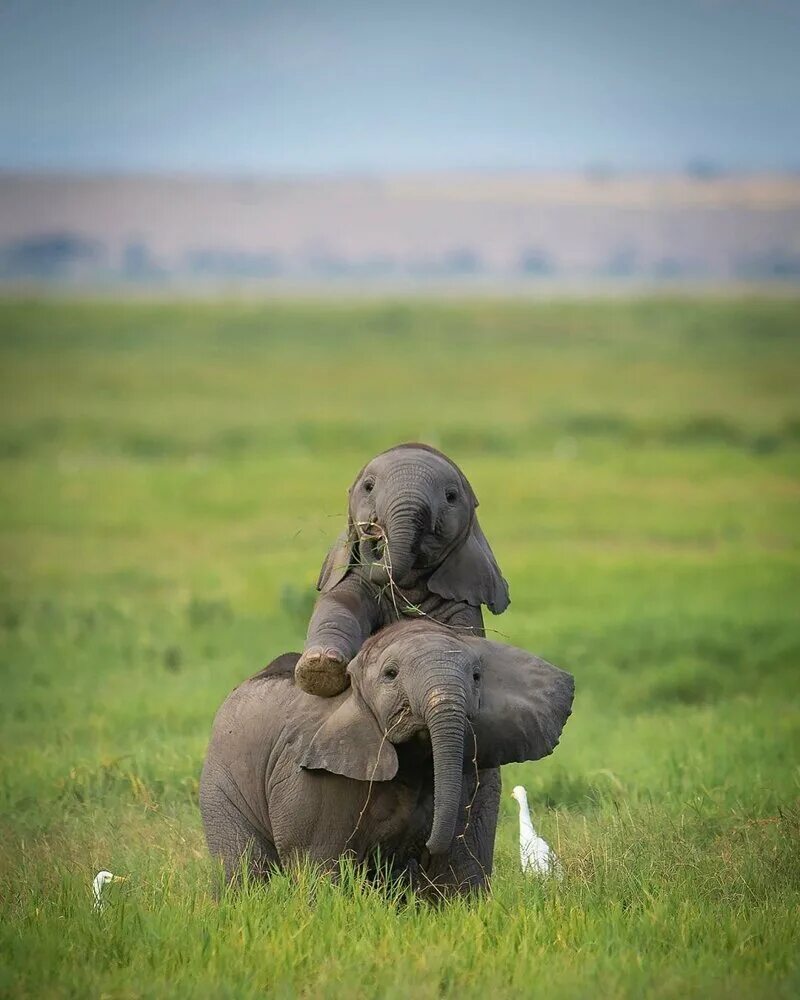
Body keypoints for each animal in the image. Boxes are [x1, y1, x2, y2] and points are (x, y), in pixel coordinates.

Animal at [202, 620, 576, 896]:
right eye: (390, 674)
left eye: (476, 677)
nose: (423, 846)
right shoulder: (311, 777)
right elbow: (320, 863)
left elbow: (459, 866)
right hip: (221, 779)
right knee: (244, 867)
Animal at [296, 444, 510, 696]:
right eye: (368, 487)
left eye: (451, 496)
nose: (372, 528)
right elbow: (340, 605)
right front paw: (320, 667)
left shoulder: (461, 598)